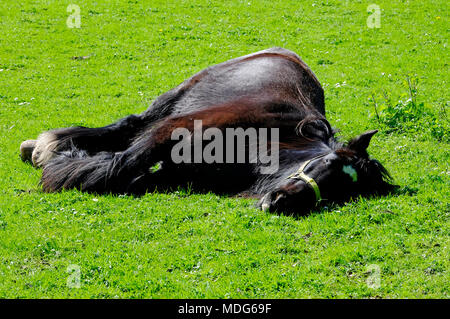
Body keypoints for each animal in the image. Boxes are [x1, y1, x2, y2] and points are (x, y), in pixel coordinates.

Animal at [20, 47, 394, 215]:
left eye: (342, 193)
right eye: (329, 164)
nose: (281, 201)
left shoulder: (172, 173)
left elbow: (127, 174)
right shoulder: (168, 131)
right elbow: (119, 165)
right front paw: (63, 165)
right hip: (172, 99)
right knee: (128, 124)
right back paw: (45, 145)